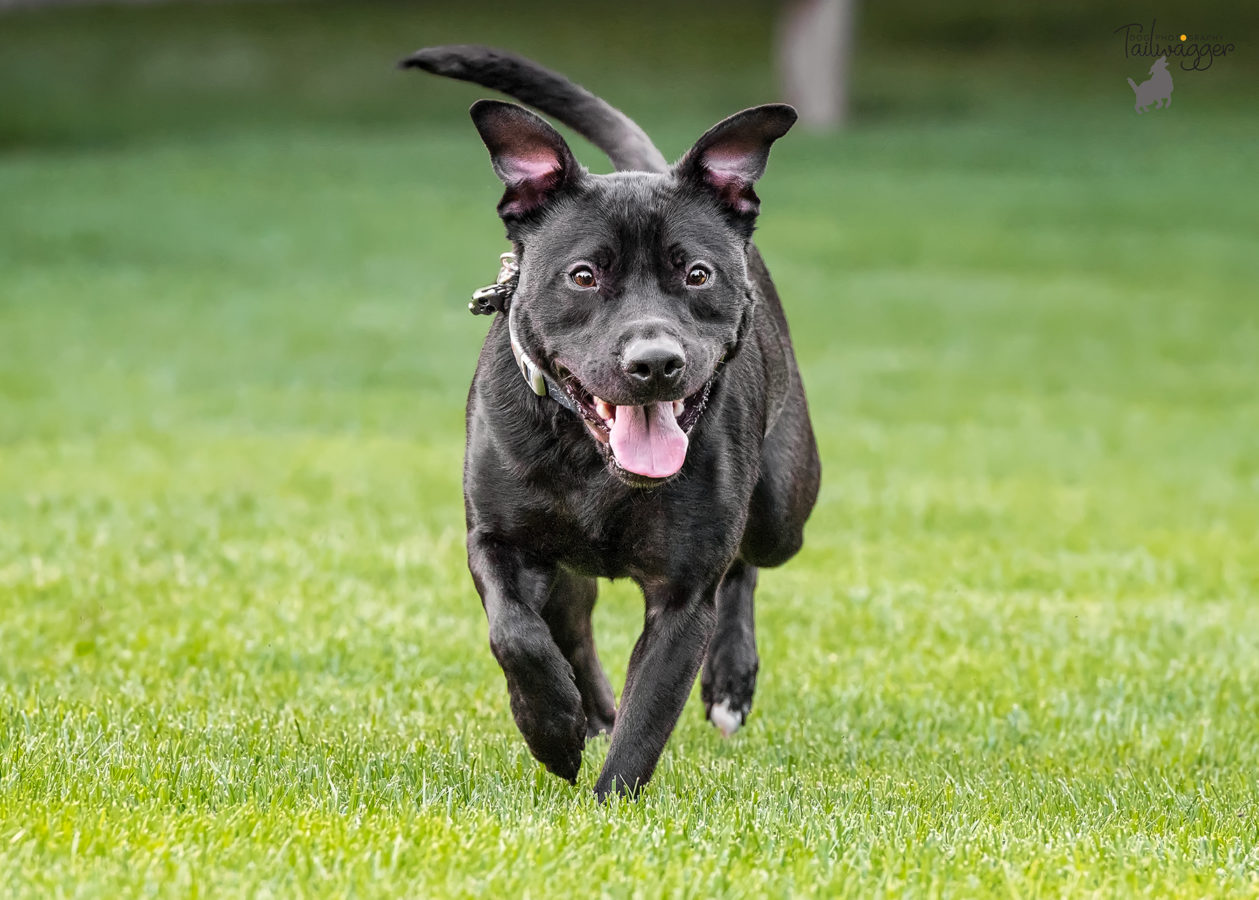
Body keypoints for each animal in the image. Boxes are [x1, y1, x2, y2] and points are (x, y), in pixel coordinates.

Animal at [397, 45, 820, 800]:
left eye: (697, 274)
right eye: (584, 276)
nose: (654, 362)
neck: (591, 460)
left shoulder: (683, 595)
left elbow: (647, 716)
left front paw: (607, 806)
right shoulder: (496, 541)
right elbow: (516, 636)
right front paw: (553, 730)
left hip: (781, 508)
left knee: (746, 565)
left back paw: (729, 684)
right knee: (571, 625)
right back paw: (587, 710)